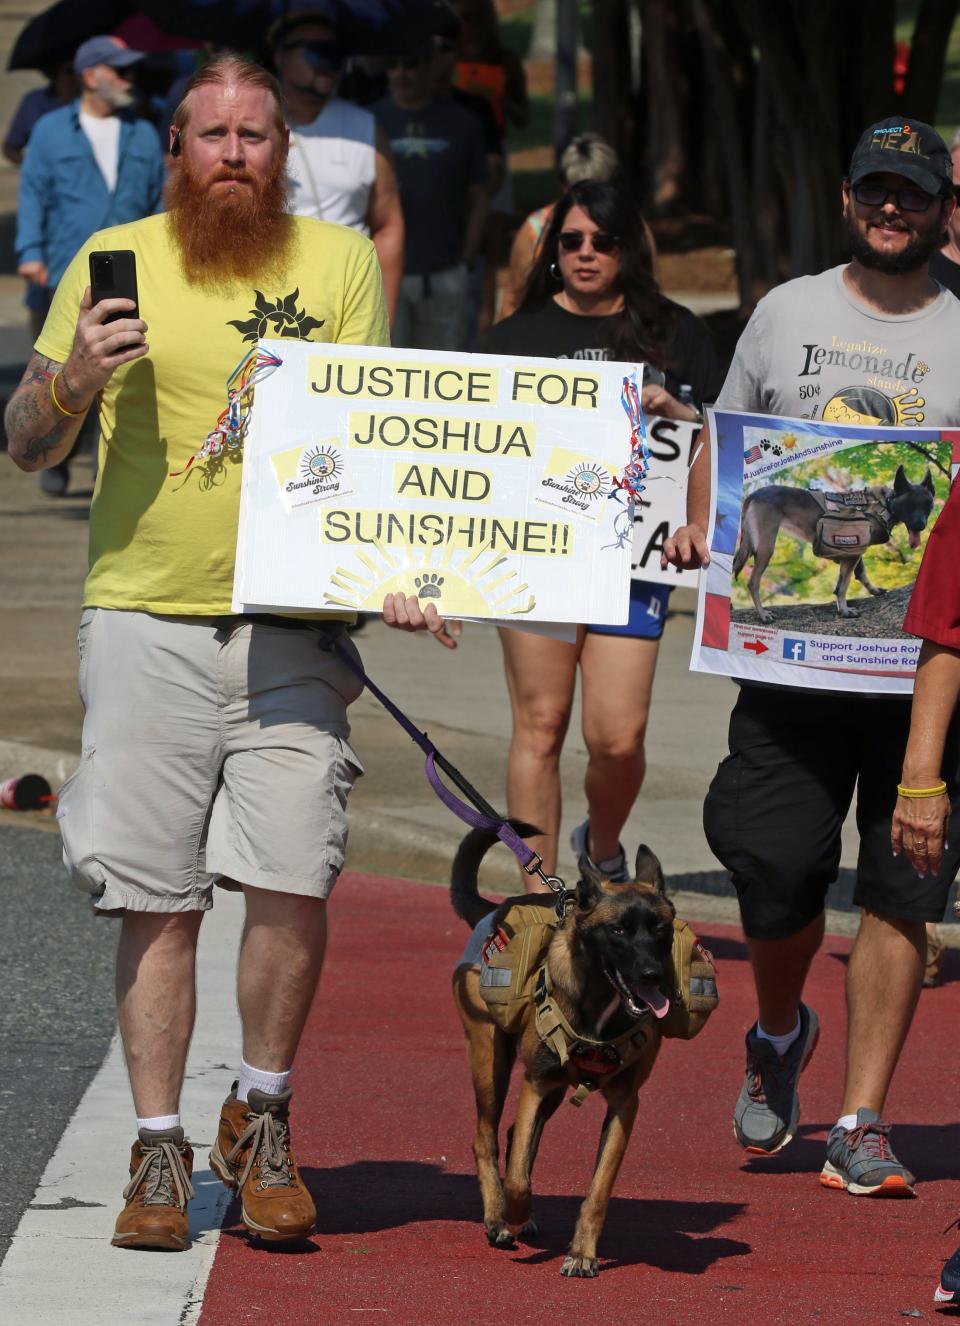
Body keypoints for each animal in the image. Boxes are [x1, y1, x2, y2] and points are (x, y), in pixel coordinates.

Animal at [450, 827, 670, 1272]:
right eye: (618, 931)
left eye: (661, 929)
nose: (653, 975)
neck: (600, 1004)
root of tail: (494, 911)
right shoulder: (535, 1083)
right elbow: (518, 1178)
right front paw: (513, 1214)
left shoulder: (624, 1104)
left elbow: (598, 1189)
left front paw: (583, 1253)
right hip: (491, 1063)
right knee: (487, 1137)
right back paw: (498, 1218)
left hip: (550, 1090)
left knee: (514, 1136)